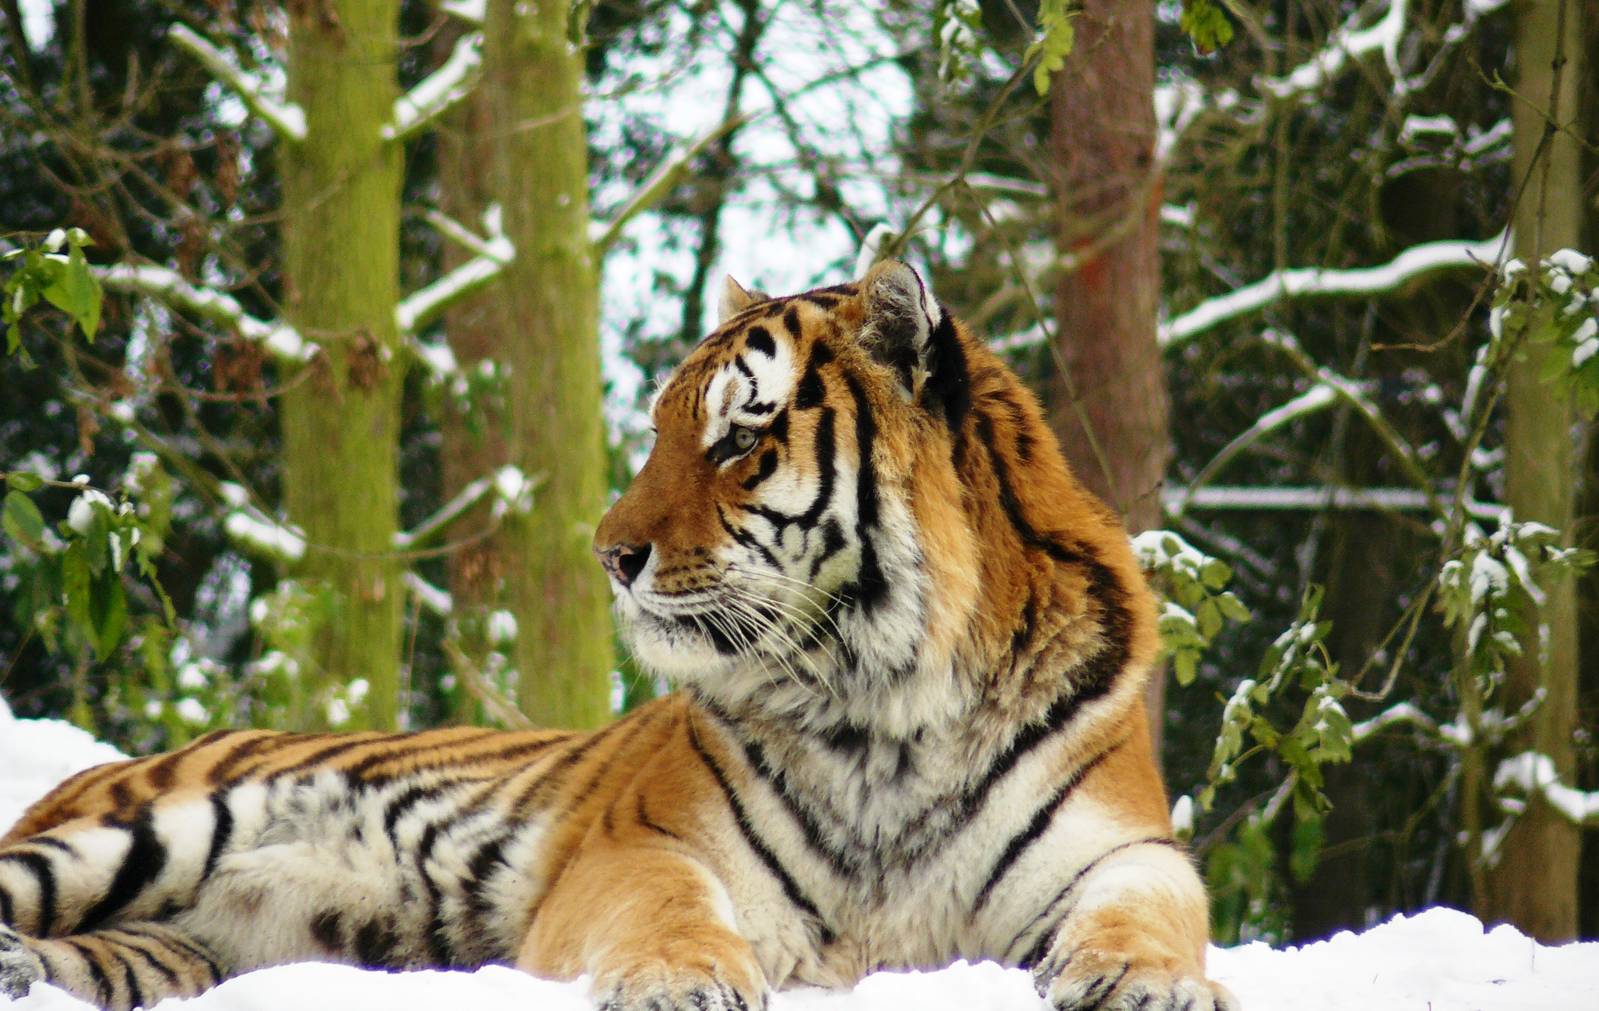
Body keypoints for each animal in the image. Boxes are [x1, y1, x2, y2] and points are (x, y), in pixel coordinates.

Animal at [0, 261, 1231, 1011]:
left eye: (739, 436)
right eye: (658, 431)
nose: (607, 552)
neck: (885, 704)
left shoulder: (1125, 843)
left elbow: (1150, 907)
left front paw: (1144, 980)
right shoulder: (639, 843)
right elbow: (669, 904)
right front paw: (685, 981)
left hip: (168, 950)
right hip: (145, 833)